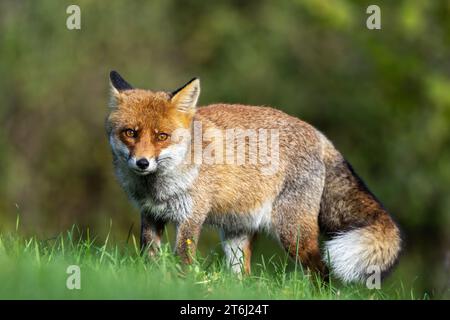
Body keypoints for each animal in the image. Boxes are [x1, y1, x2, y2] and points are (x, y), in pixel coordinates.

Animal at [107, 70, 402, 282]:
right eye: (130, 133)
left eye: (161, 136)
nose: (142, 163)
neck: (158, 189)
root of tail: (319, 134)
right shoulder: (150, 215)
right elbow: (150, 258)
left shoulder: (191, 218)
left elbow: (183, 260)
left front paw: (178, 285)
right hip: (236, 235)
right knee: (244, 278)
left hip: (293, 234)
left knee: (322, 272)